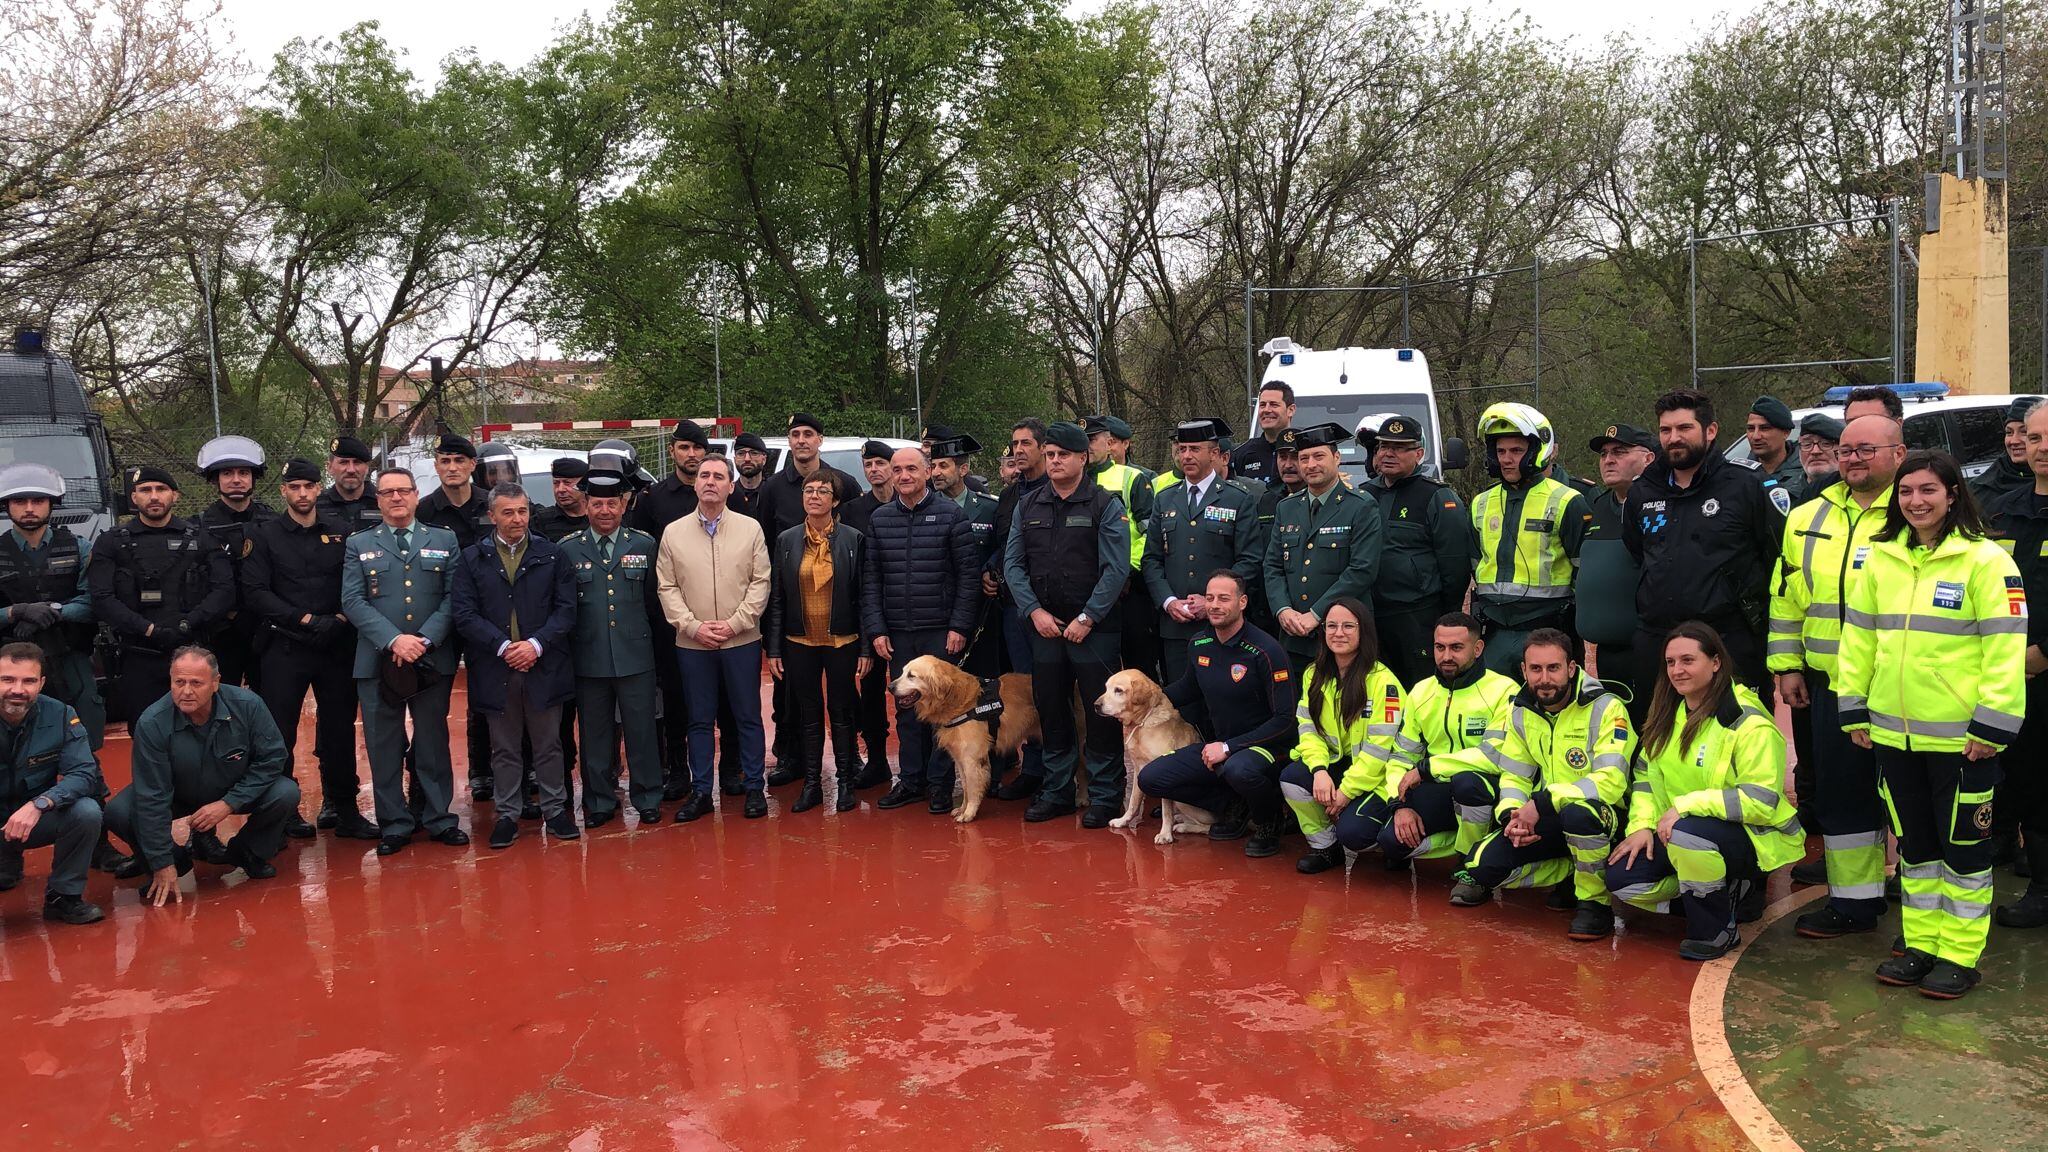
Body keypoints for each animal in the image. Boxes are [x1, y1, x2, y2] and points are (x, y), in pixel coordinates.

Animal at [888, 651, 1040, 819]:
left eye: (911, 675)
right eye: (902, 672)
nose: (890, 687)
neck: (957, 701)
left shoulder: (971, 759)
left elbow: (973, 790)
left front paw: (969, 814)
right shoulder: (960, 759)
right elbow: (966, 788)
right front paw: (962, 809)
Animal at [1105, 664, 1212, 844]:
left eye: (1118, 690)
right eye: (1106, 688)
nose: (1095, 705)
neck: (1142, 723)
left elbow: (1166, 811)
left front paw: (1165, 834)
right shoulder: (1138, 770)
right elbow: (1133, 802)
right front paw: (1123, 821)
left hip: (1183, 802)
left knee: (1210, 826)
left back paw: (1184, 826)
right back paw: (1180, 819)